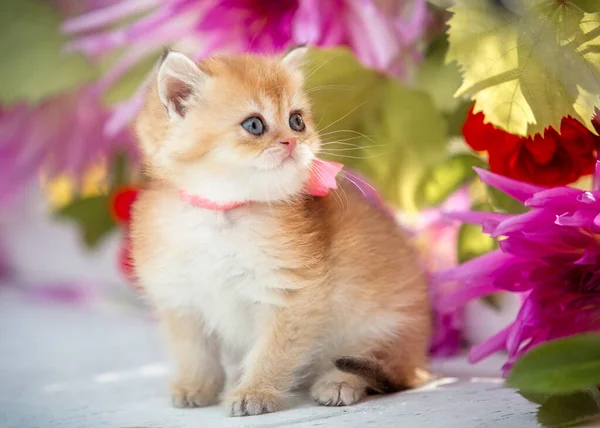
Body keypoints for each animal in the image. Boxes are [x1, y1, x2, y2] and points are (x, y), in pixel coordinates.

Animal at [131, 47, 432, 418]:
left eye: (296, 121)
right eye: (254, 124)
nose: (292, 142)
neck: (223, 215)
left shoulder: (291, 295)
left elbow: (271, 353)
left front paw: (255, 392)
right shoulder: (181, 299)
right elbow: (193, 351)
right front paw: (195, 386)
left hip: (379, 321)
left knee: (371, 359)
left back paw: (338, 383)